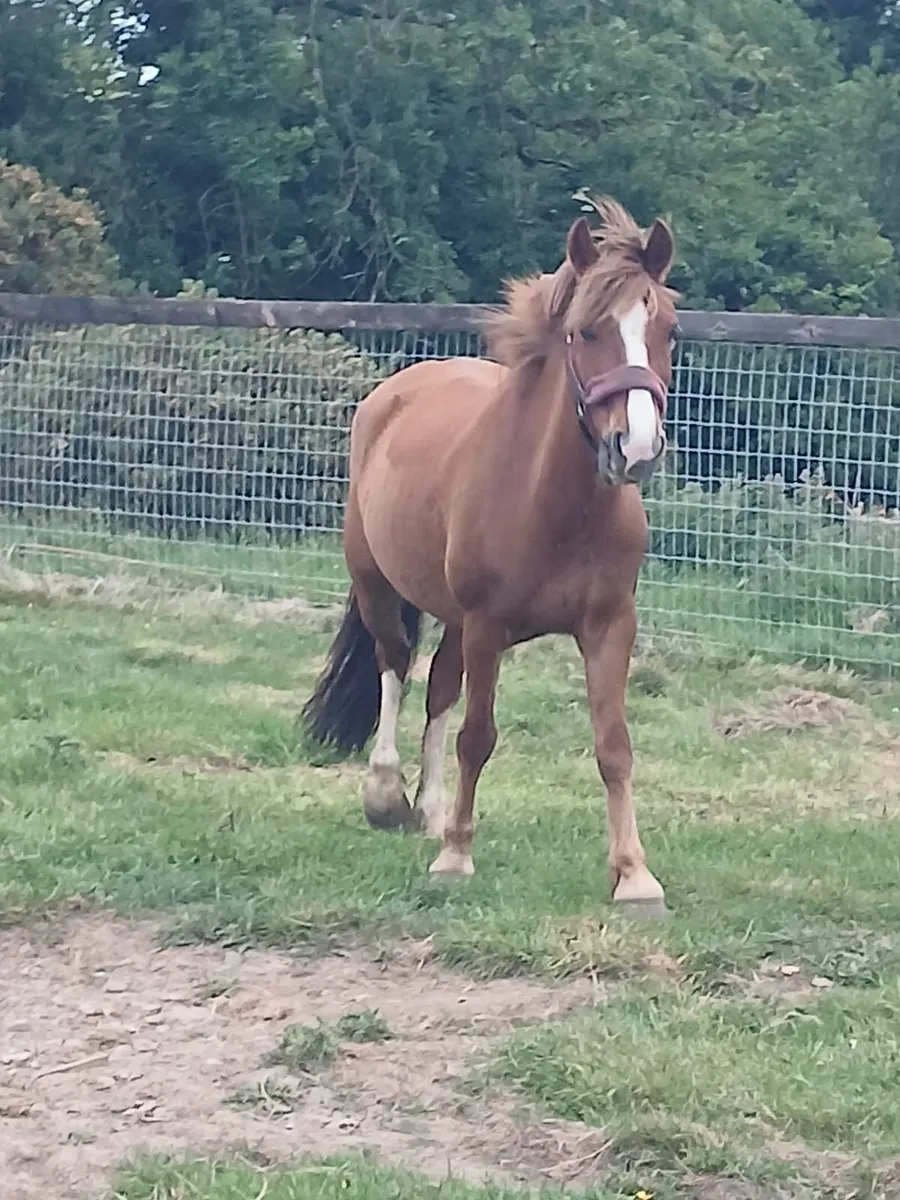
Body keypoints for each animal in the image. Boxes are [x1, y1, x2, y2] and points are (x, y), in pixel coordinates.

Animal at [302, 196, 679, 917]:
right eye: (587, 331)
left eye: (668, 329)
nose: (637, 448)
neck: (554, 507)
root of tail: (394, 392)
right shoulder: (487, 624)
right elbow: (478, 735)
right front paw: (456, 857)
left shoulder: (609, 625)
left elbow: (613, 745)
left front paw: (635, 875)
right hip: (378, 582)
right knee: (396, 665)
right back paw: (387, 796)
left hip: (452, 618)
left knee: (438, 690)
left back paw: (429, 809)